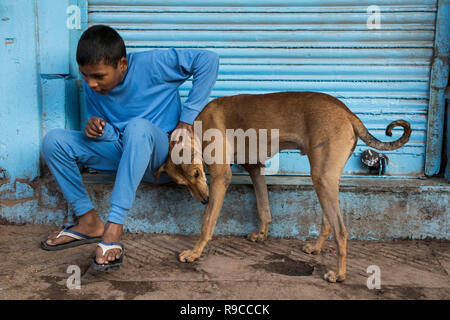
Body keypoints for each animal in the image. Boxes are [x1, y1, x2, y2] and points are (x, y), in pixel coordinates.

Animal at [156, 90, 412, 282]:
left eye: (197, 173)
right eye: (183, 183)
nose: (204, 200)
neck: (197, 126)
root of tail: (347, 112)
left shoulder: (221, 177)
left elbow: (207, 223)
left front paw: (195, 252)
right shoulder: (255, 168)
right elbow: (264, 207)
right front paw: (262, 233)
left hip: (322, 178)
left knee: (341, 231)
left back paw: (339, 274)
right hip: (326, 178)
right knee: (328, 221)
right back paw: (316, 247)